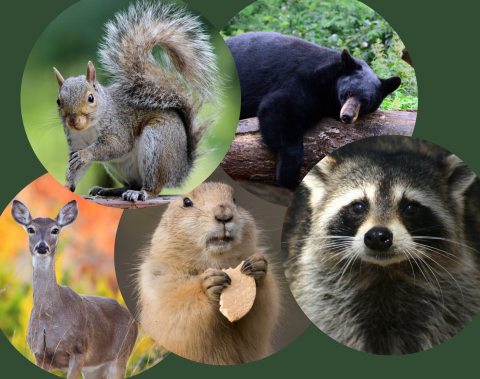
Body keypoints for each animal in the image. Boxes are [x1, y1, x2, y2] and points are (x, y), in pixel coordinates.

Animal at [11, 200, 139, 379]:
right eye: (30, 229)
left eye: (55, 230)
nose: (42, 247)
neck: (50, 315)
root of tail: (133, 319)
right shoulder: (39, 354)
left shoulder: (79, 350)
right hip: (93, 369)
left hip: (121, 356)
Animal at [54, 2, 221, 202]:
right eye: (58, 101)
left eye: (90, 98)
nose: (73, 121)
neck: (89, 127)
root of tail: (180, 170)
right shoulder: (75, 141)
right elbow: (75, 168)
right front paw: (67, 186)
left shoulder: (118, 125)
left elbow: (116, 146)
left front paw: (87, 154)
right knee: (132, 183)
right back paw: (111, 190)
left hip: (157, 145)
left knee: (154, 186)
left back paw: (141, 192)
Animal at [226, 31, 402, 189]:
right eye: (348, 92)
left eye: (365, 101)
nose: (347, 116)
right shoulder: (306, 80)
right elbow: (280, 107)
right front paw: (287, 175)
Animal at [282, 137, 480, 356]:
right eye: (358, 207)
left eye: (410, 208)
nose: (378, 237)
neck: (385, 272)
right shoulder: (320, 292)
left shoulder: (456, 295)